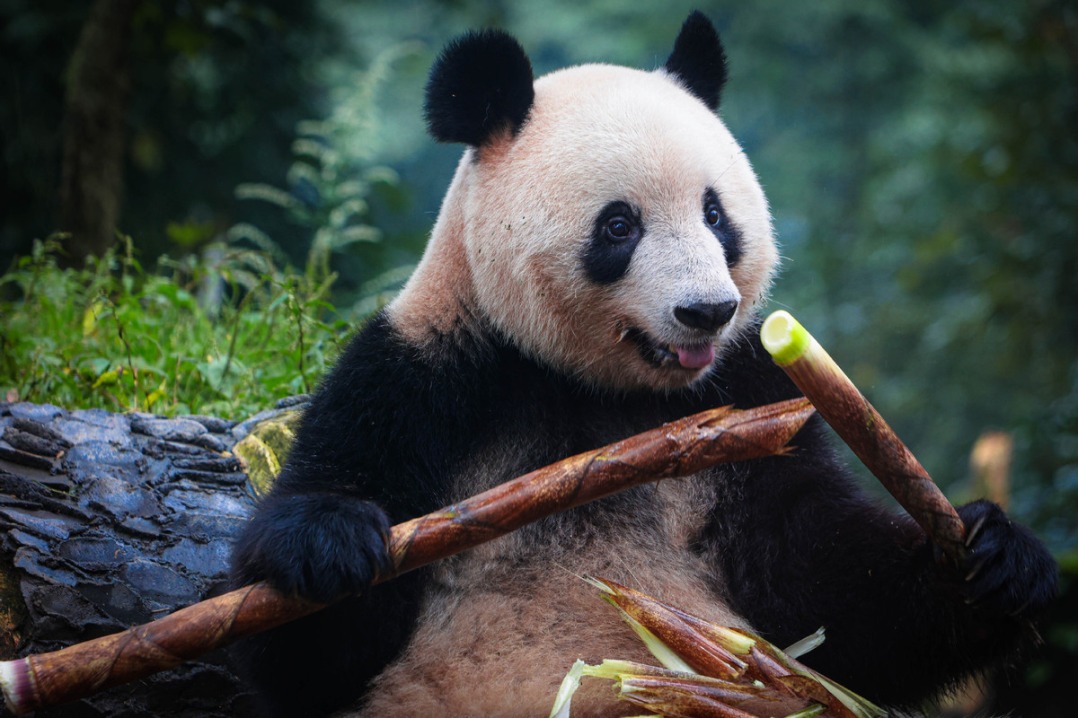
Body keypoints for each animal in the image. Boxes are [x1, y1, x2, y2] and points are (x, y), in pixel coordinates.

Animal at [231, 12, 1057, 717]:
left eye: (716, 214)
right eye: (619, 226)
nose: (707, 311)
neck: (600, 389)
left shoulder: (747, 394)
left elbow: (823, 592)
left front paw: (997, 561)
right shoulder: (428, 374)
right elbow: (310, 658)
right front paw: (333, 543)